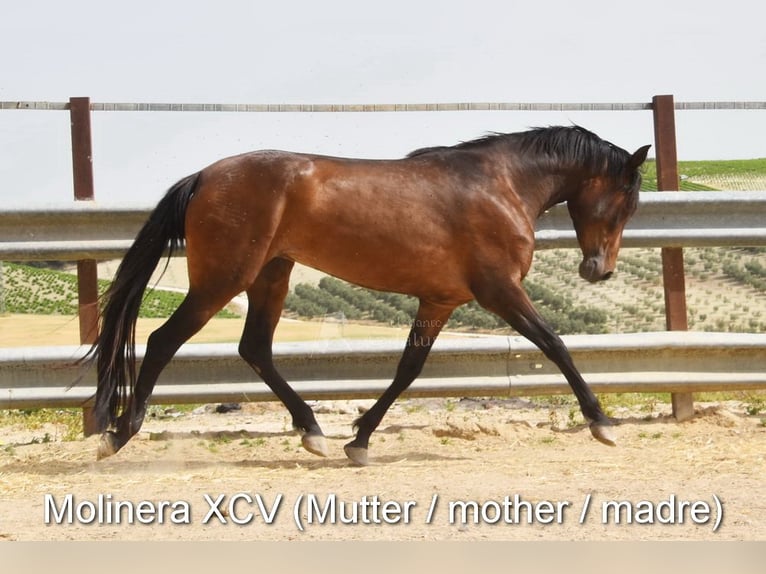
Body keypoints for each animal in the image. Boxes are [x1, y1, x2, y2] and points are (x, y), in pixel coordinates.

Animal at [91, 127, 656, 468]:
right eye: (624, 201)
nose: (599, 271)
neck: (502, 185)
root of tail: (205, 176)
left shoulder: (439, 301)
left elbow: (408, 370)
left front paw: (359, 439)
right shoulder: (500, 290)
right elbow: (555, 344)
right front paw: (603, 423)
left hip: (271, 275)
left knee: (255, 349)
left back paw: (313, 432)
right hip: (223, 279)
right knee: (164, 341)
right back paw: (118, 433)